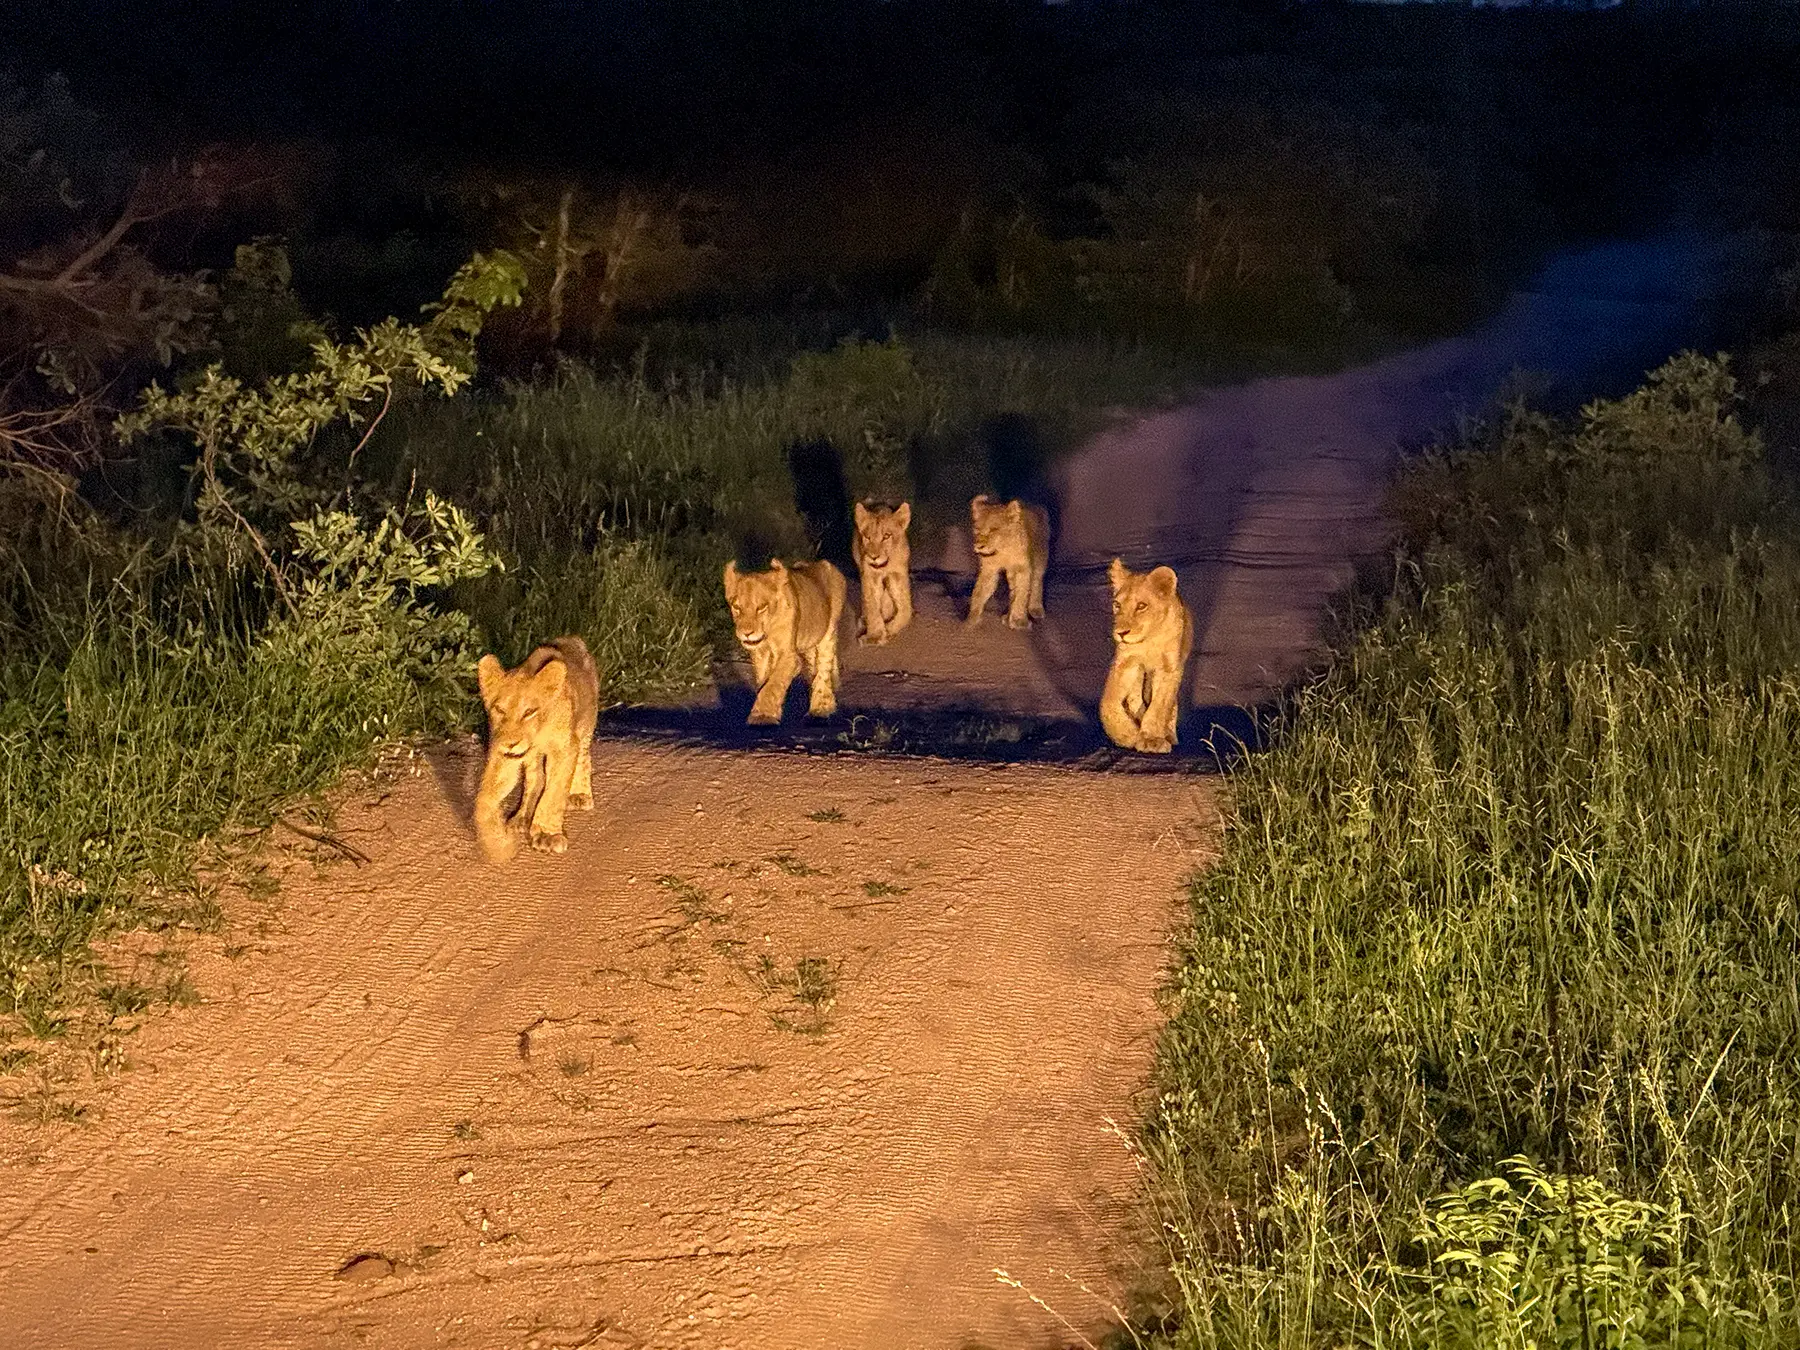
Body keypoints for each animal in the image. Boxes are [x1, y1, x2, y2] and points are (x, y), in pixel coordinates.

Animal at [474, 635, 601, 862]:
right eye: (499, 709)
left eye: (529, 712)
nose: (511, 743)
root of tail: (572, 639)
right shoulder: (502, 755)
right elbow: (484, 798)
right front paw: (497, 845)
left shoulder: (565, 748)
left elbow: (554, 792)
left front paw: (546, 836)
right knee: (535, 778)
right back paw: (521, 817)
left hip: (586, 724)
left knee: (583, 758)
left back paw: (580, 795)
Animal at [723, 557, 847, 724]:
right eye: (736, 607)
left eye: (761, 607)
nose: (747, 633)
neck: (769, 629)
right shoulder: (761, 655)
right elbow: (764, 683)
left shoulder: (789, 655)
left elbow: (772, 683)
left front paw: (762, 717)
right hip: (808, 645)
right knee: (814, 670)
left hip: (828, 633)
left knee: (823, 671)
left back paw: (820, 710)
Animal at [852, 500, 914, 645]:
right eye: (867, 537)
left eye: (886, 536)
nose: (873, 557)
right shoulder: (870, 576)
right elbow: (872, 606)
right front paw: (875, 635)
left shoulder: (898, 575)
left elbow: (906, 608)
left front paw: (890, 629)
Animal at [966, 494, 1049, 629]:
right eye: (977, 529)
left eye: (993, 529)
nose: (979, 546)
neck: (1003, 551)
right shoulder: (989, 570)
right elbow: (979, 591)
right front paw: (972, 618)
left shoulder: (1023, 569)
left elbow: (1022, 593)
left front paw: (1019, 620)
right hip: (1011, 573)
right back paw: (1007, 615)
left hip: (1040, 558)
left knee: (1037, 581)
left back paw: (1035, 608)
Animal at [1101, 558, 1193, 754]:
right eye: (1117, 605)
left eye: (1141, 606)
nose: (1121, 633)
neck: (1148, 639)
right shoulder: (1125, 663)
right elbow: (1108, 702)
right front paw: (1126, 735)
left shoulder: (1169, 668)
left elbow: (1160, 706)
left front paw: (1152, 739)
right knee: (1134, 698)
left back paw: (1169, 734)